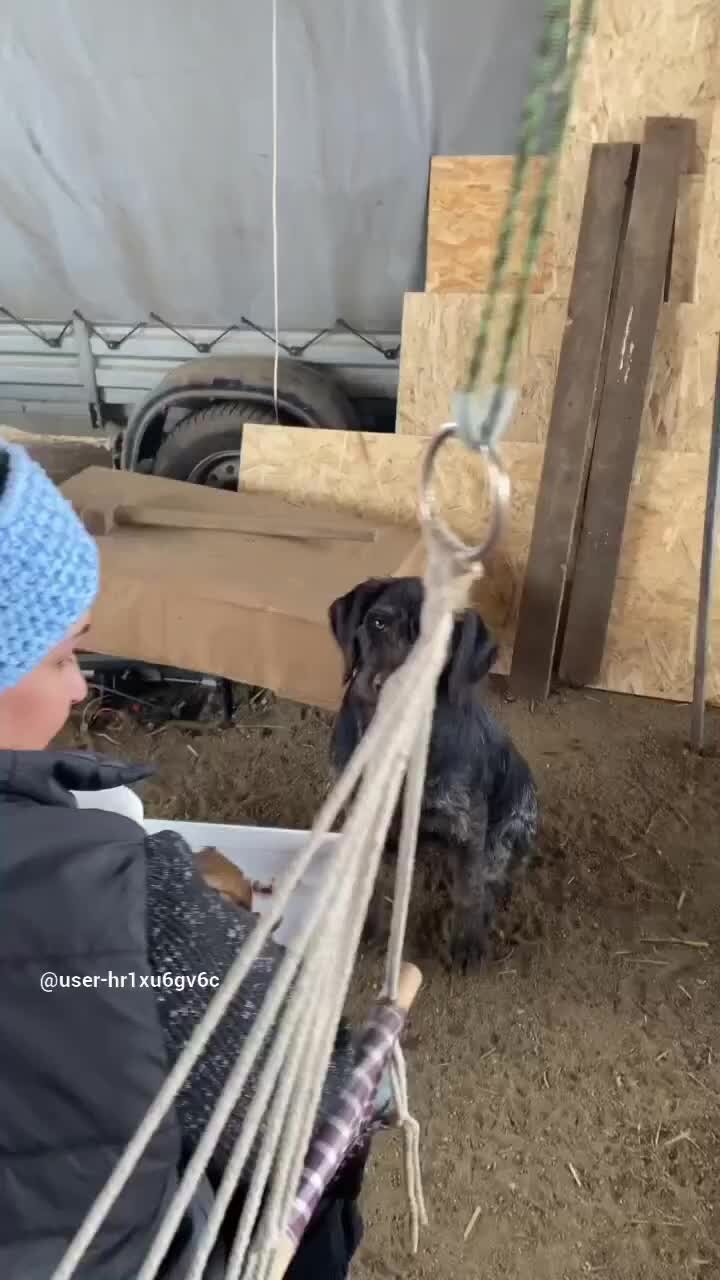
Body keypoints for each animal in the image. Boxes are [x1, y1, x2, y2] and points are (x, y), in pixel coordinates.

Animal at [327, 576, 535, 962]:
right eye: (378, 622)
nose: (384, 687)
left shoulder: (469, 825)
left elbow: (469, 890)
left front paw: (466, 942)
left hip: (511, 826)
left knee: (493, 878)